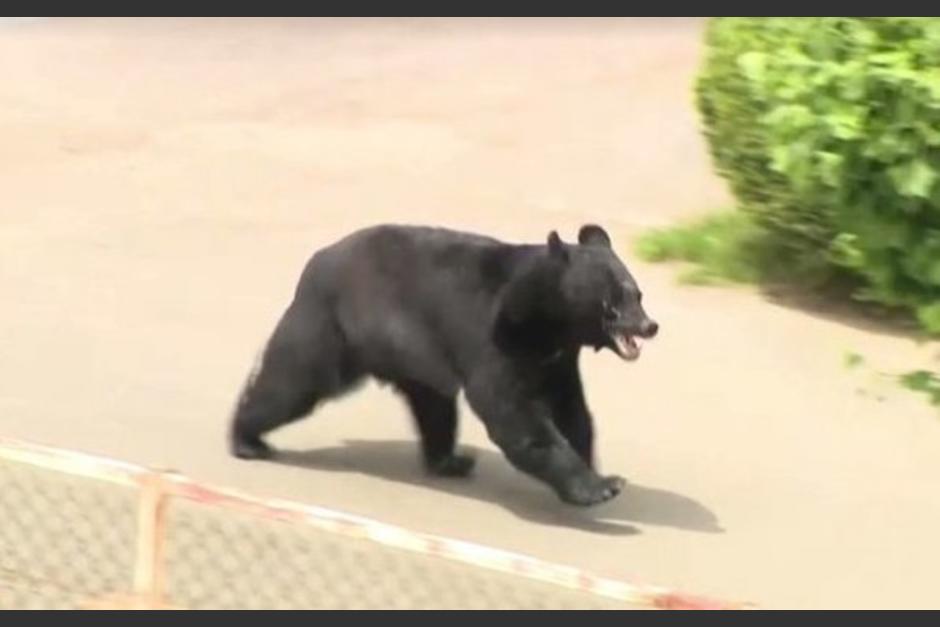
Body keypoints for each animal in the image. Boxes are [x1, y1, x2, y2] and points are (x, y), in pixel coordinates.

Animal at [229, 223, 658, 506]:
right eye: (613, 301)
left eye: (638, 293)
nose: (649, 326)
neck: (548, 318)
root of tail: (317, 259)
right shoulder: (498, 337)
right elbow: (513, 413)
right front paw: (601, 487)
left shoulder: (558, 358)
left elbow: (571, 409)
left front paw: (595, 469)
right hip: (330, 329)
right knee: (290, 384)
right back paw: (247, 440)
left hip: (415, 360)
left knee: (434, 408)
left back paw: (450, 460)